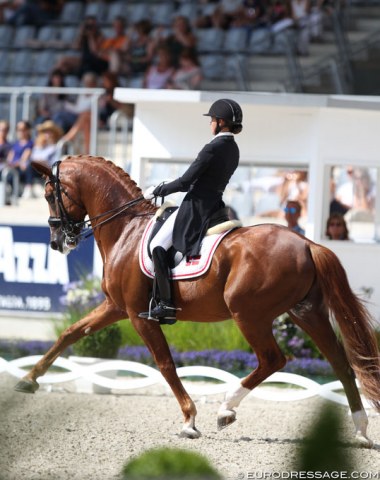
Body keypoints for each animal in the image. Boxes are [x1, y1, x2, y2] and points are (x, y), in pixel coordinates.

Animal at [14, 158, 380, 446]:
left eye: (49, 195)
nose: (57, 242)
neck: (126, 229)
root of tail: (307, 244)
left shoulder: (138, 315)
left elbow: (165, 364)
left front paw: (189, 420)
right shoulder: (116, 307)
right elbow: (71, 333)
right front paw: (28, 380)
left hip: (249, 313)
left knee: (273, 359)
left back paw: (226, 410)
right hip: (306, 312)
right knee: (341, 363)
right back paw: (361, 430)